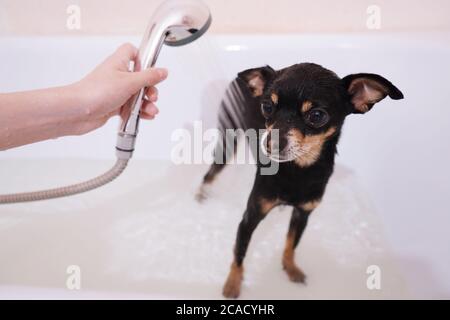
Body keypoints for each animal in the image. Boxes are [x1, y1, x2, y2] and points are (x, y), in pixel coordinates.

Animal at [199, 62, 402, 298]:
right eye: (266, 106)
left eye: (317, 115)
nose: (271, 142)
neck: (299, 170)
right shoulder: (250, 218)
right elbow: (239, 253)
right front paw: (233, 282)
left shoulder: (303, 214)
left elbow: (290, 244)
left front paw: (290, 268)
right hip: (228, 138)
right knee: (211, 172)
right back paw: (201, 194)